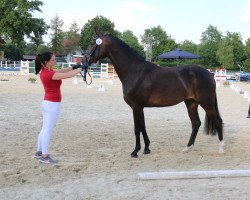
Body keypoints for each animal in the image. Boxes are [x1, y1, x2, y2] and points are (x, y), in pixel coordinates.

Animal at [86, 29, 225, 158]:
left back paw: (221, 149)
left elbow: (137, 128)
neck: (134, 71)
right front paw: (146, 149)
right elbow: (143, 127)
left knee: (218, 121)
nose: (84, 60)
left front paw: (135, 151)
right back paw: (187, 148)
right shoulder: (140, 107)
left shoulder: (136, 106)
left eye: (93, 43)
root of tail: (209, 74)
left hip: (206, 103)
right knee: (196, 123)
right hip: (191, 103)